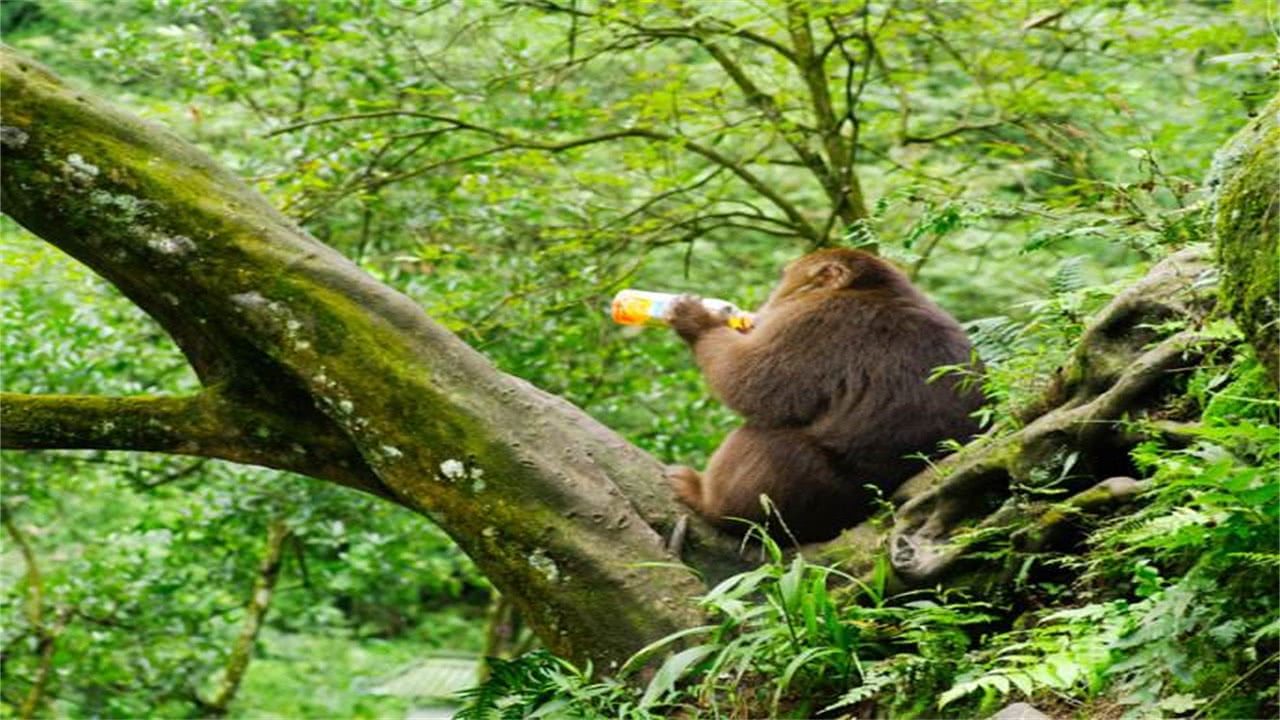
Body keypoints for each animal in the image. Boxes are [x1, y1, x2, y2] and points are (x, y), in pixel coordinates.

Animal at [665, 244, 983, 538]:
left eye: (784, 278)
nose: (767, 303)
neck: (872, 289)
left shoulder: (813, 321)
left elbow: (746, 381)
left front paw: (700, 320)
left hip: (825, 491)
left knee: (770, 442)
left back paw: (709, 503)